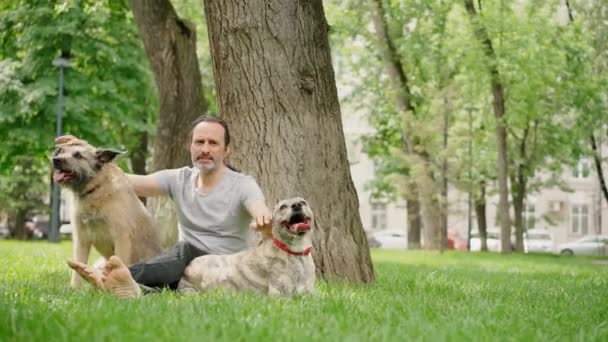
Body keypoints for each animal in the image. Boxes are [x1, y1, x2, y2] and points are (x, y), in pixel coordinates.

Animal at [178, 198, 316, 296]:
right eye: (283, 206)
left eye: (303, 202)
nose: (297, 205)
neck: (295, 252)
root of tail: (186, 269)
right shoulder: (280, 294)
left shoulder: (310, 293)